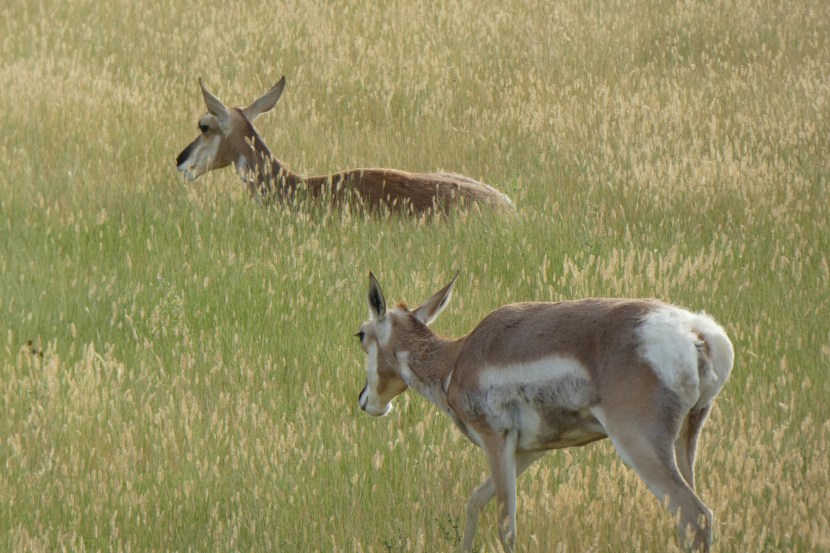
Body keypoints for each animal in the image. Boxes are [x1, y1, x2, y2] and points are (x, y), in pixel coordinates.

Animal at [354, 272, 734, 552]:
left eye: (360, 334)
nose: (365, 401)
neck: (457, 358)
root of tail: (696, 331)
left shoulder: (496, 442)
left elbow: (506, 525)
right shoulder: (528, 452)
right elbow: (475, 501)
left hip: (639, 445)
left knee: (696, 516)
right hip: (685, 441)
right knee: (689, 522)